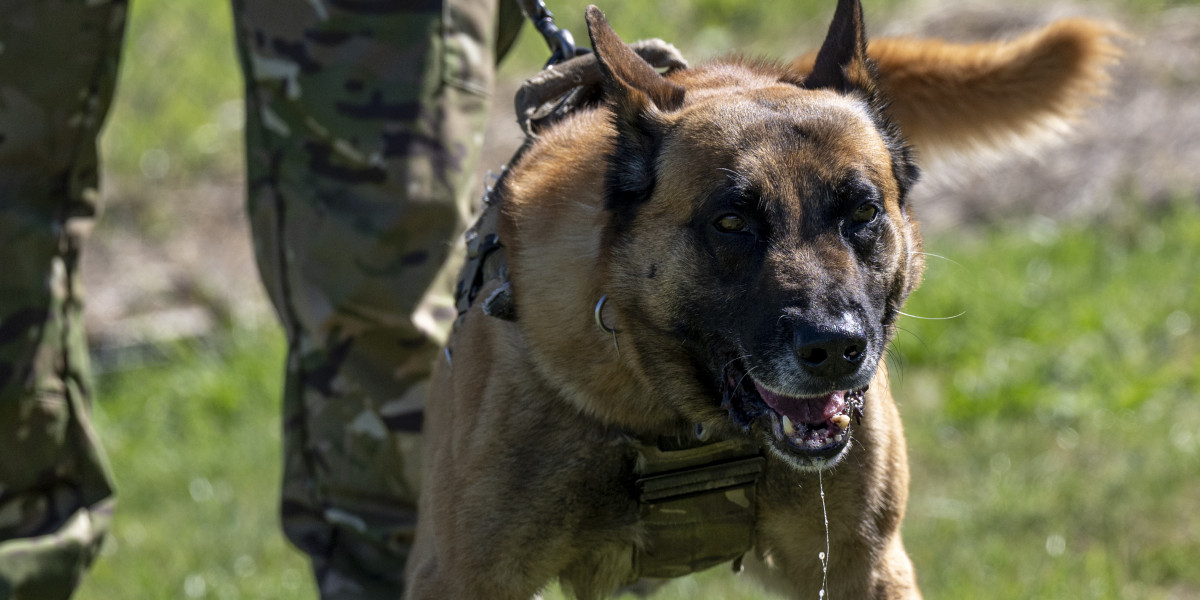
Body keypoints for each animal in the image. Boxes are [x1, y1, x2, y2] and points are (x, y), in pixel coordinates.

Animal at [403, 2, 1113, 597]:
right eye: (732, 223)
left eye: (863, 212)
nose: (835, 349)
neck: (680, 416)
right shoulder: (462, 577)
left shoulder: (863, 566)